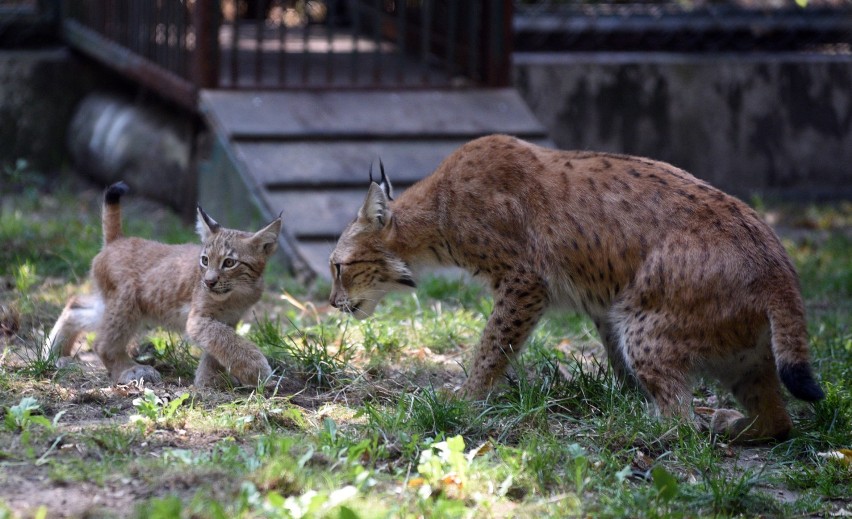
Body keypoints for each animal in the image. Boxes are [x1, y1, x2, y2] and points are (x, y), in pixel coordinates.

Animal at [47, 181, 280, 388]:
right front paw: (258, 371)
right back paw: (131, 370)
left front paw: (211, 380)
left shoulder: (228, 318)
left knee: (75, 305)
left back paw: (54, 354)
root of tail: (118, 240)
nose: (209, 282)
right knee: (102, 343)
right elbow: (225, 340)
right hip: (127, 302)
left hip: (113, 304)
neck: (238, 292)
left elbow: (218, 346)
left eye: (229, 263)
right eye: (205, 260)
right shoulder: (198, 318)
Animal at [330, 135, 824, 442]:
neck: (434, 218)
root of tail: (778, 264)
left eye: (338, 267)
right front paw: (624, 393)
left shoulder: (525, 280)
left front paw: (466, 397)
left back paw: (646, 428)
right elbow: (610, 352)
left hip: (645, 326)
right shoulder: (604, 304)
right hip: (735, 352)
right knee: (779, 421)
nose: (333, 304)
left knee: (683, 423)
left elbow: (492, 343)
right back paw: (729, 426)